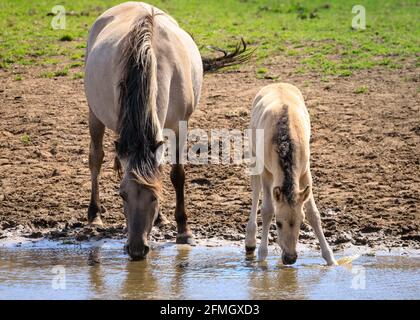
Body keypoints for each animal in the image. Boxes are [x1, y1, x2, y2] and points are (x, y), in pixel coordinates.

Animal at [244, 82, 336, 264]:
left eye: (301, 222)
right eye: (278, 223)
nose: (290, 258)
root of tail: (276, 83)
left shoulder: (305, 171)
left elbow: (313, 214)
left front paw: (331, 259)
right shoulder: (267, 172)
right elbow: (267, 210)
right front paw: (262, 256)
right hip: (254, 155)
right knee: (255, 189)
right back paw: (250, 241)